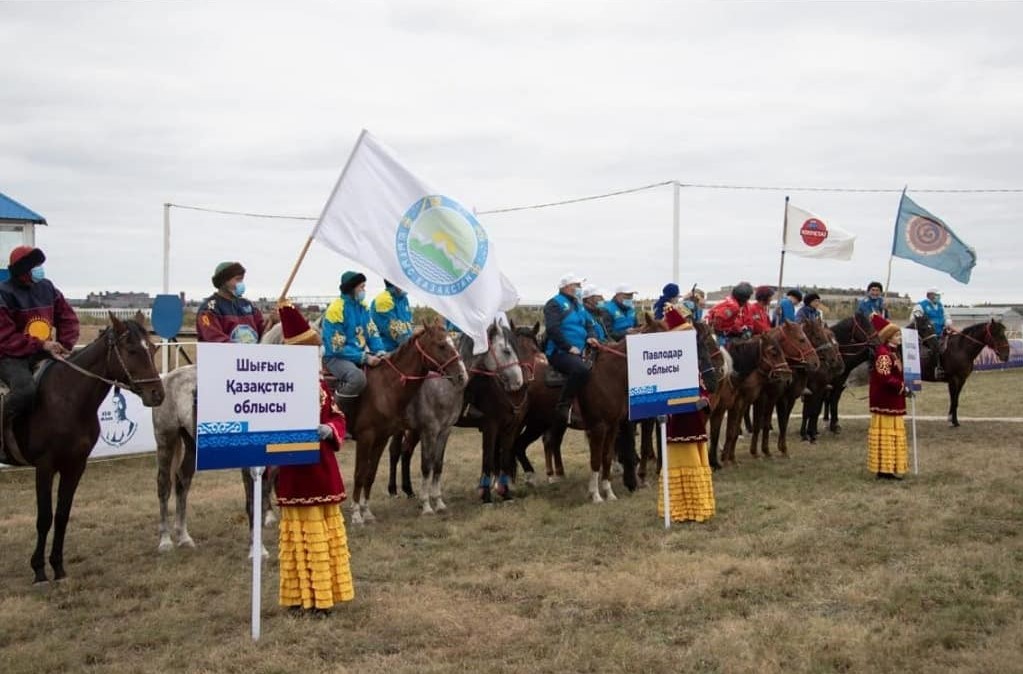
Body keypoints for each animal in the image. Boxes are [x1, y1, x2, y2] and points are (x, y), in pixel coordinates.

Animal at [3, 312, 163, 580]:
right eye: (131, 350)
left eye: (151, 348)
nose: (157, 394)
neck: (67, 400)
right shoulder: (45, 466)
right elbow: (44, 517)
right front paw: (39, 570)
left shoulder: (76, 465)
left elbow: (62, 515)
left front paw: (57, 567)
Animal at [349, 321, 466, 527]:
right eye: (441, 345)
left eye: (456, 344)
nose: (462, 376)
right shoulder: (368, 437)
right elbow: (360, 474)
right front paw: (357, 516)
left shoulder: (442, 431)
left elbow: (371, 474)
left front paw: (367, 513)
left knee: (402, 452)